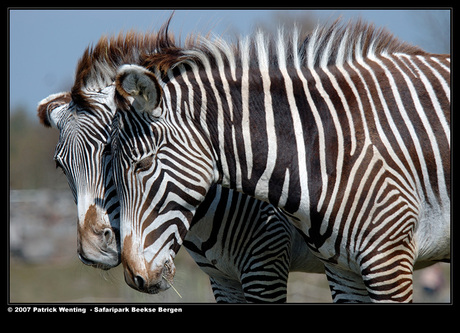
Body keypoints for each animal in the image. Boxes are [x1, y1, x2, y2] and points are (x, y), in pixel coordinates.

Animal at [109, 19, 452, 302]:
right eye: (108, 167)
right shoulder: (340, 271)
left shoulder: (382, 260)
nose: (135, 277)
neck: (324, 148)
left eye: (143, 164)